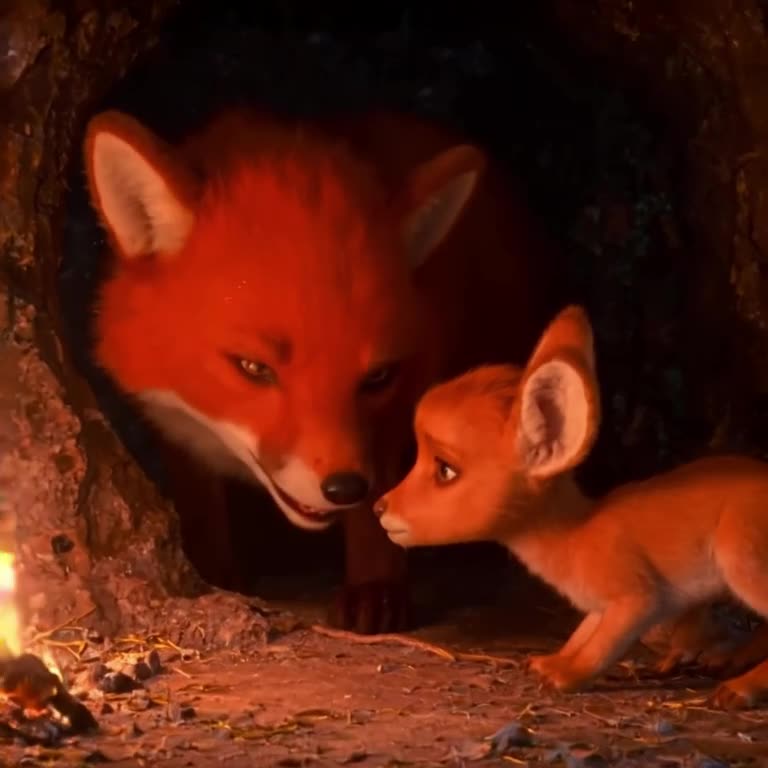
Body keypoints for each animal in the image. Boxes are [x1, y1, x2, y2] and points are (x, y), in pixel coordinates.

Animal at [81, 106, 559, 633]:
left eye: (377, 377)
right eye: (253, 367)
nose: (343, 488)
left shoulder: (397, 412)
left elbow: (377, 509)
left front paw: (376, 586)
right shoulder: (176, 426)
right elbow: (200, 504)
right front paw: (209, 571)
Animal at [374, 304, 768, 708]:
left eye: (445, 470)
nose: (379, 507)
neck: (576, 536)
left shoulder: (637, 598)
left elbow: (602, 647)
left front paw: (565, 677)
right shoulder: (598, 605)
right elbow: (581, 635)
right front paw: (550, 662)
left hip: (744, 562)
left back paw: (740, 687)